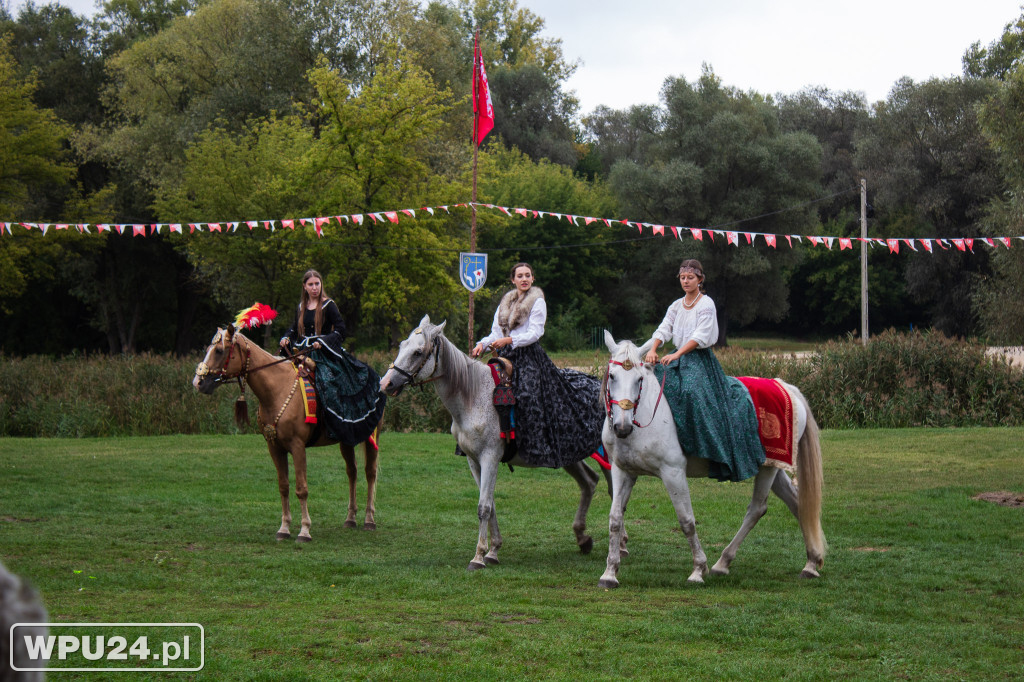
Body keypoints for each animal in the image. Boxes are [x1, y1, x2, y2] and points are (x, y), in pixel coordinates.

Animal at [192, 325, 380, 540]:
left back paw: (369, 520)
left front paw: (305, 530)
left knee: (370, 473)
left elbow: (301, 488)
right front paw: (284, 528)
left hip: (371, 436)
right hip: (346, 440)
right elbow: (284, 487)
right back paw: (350, 519)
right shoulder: (274, 447)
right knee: (352, 472)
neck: (277, 390)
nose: (198, 382)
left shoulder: (298, 446)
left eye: (219, 351)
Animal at [380, 315, 610, 569]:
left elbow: (484, 506)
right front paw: (493, 551)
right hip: (569, 455)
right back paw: (583, 539)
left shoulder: (490, 457)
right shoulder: (473, 461)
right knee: (589, 482)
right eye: (403, 345)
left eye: (418, 352)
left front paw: (479, 556)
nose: (386, 384)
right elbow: (490, 503)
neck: (472, 396)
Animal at [598, 331, 823, 585]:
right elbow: (615, 519)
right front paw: (610, 573)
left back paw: (722, 562)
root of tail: (786, 386)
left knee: (757, 508)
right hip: (771, 466)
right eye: (612, 376)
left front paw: (698, 569)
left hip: (767, 470)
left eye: (639, 379)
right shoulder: (622, 471)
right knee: (797, 504)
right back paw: (811, 563)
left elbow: (686, 520)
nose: (622, 427)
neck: (644, 416)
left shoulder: (672, 472)